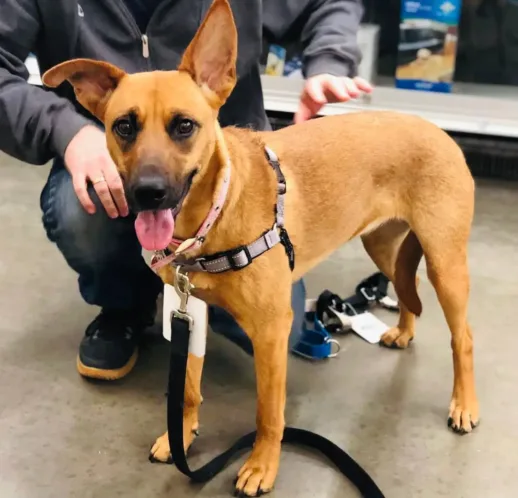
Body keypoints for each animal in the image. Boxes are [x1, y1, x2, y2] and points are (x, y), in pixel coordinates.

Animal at [42, 1, 482, 496]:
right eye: (123, 126)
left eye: (184, 126)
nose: (147, 193)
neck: (213, 216)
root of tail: (437, 130)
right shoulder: (187, 311)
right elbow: (187, 389)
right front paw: (181, 435)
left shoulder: (272, 332)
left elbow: (268, 412)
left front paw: (262, 465)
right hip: (382, 246)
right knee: (407, 288)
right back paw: (404, 331)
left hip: (446, 264)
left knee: (462, 337)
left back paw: (464, 405)